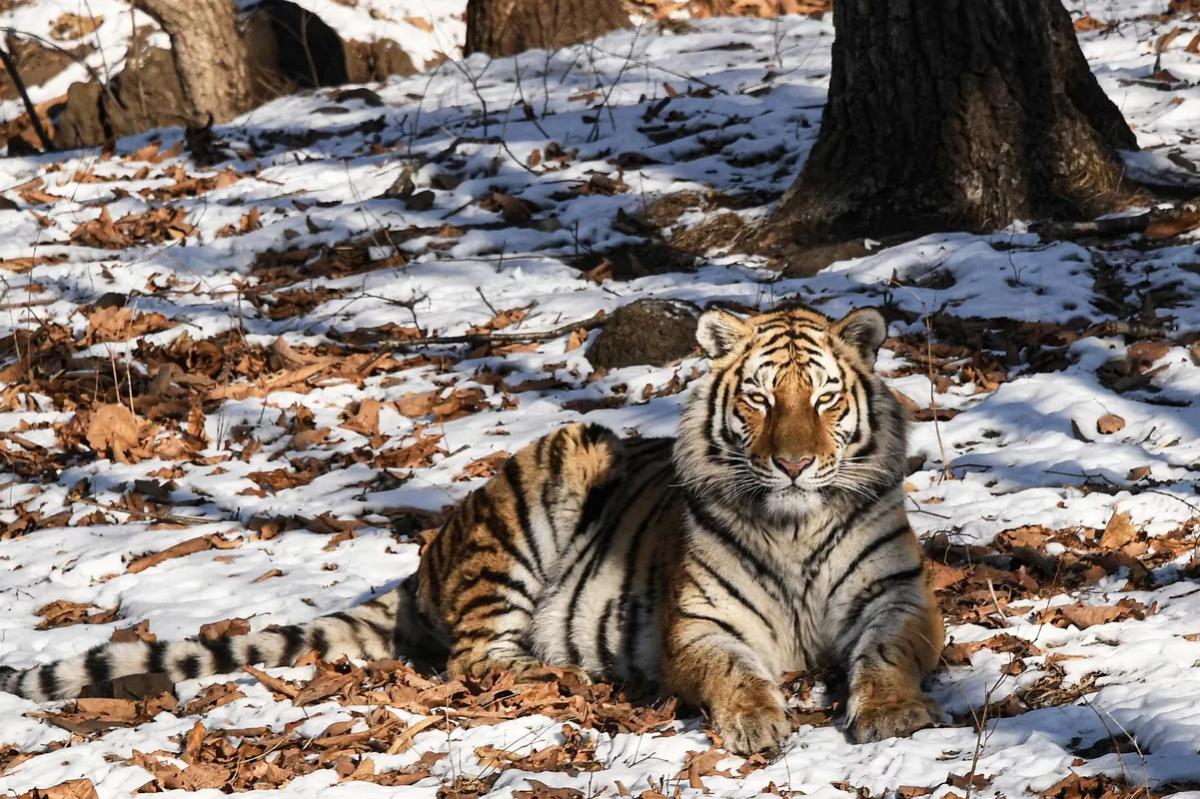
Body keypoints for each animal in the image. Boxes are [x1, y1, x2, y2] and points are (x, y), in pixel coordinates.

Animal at [2, 302, 945, 748]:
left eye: (824, 399)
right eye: (758, 399)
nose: (792, 464)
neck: (792, 522)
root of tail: (423, 564)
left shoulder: (902, 599)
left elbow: (889, 656)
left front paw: (894, 715)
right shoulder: (702, 623)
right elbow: (735, 672)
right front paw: (755, 720)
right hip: (548, 478)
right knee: (479, 659)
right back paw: (578, 674)